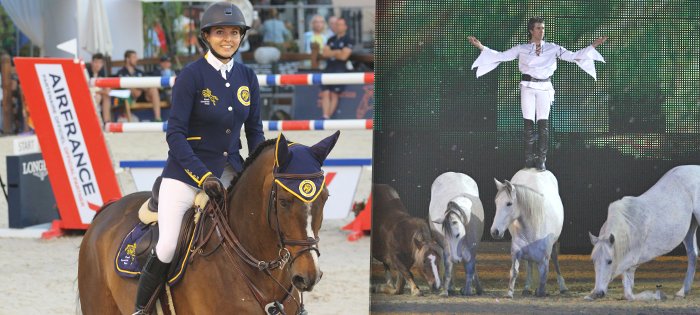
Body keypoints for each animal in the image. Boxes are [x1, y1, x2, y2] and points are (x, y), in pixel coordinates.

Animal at [492, 169, 568, 298]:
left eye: (509, 203)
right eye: (496, 203)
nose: (495, 231)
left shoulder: (544, 260)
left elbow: (543, 279)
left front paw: (541, 292)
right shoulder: (516, 252)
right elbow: (514, 272)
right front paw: (509, 293)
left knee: (555, 259)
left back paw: (563, 287)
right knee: (529, 264)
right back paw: (527, 287)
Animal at [584, 165, 700, 302]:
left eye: (609, 261)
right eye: (593, 260)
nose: (598, 293)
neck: (628, 224)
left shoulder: (632, 259)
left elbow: (629, 292)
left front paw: (654, 295)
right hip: (689, 229)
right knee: (692, 254)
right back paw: (682, 292)